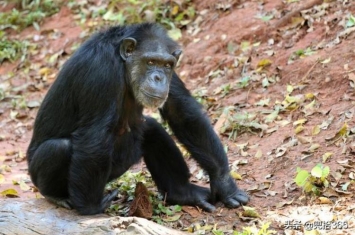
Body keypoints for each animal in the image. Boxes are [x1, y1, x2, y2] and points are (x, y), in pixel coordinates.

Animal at [27, 22, 250, 215]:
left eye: (167, 65)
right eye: (150, 62)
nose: (159, 77)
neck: (122, 63)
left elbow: (182, 112)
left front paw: (224, 185)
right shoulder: (100, 73)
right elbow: (94, 136)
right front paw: (91, 208)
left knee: (152, 130)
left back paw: (183, 193)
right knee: (58, 148)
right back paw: (56, 196)